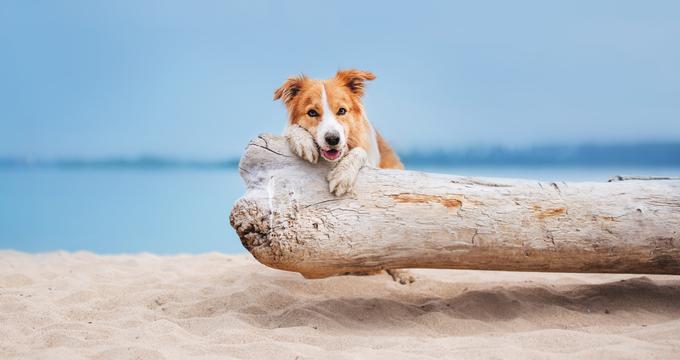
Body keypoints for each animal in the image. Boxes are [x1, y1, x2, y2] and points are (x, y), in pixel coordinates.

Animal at [272, 69, 412, 284]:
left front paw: (342, 176)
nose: (333, 139)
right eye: (312, 113)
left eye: (342, 111)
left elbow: (359, 153)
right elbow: (293, 129)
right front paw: (303, 141)